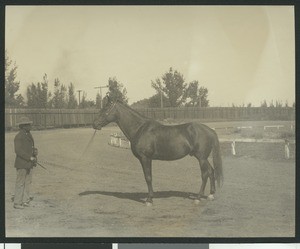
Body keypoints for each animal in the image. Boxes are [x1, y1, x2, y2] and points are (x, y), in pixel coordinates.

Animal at [92, 96, 224, 205]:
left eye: (106, 109)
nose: (94, 124)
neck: (140, 129)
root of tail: (209, 130)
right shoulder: (144, 159)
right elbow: (148, 177)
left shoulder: (146, 158)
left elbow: (148, 177)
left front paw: (149, 199)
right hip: (203, 158)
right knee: (211, 171)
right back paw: (211, 195)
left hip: (201, 158)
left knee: (205, 174)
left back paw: (198, 197)